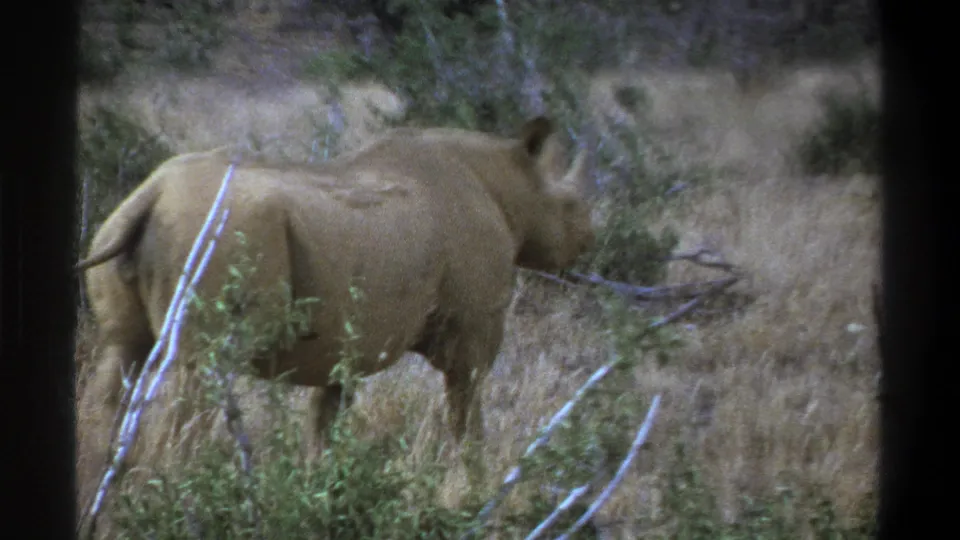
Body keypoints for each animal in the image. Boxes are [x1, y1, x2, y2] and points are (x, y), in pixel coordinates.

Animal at [77, 116, 595, 483]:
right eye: (571, 206)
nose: (587, 241)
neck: (509, 182)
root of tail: (152, 194)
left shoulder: (345, 346)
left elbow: (325, 422)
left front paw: (320, 487)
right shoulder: (473, 330)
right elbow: (467, 410)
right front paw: (477, 483)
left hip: (126, 223)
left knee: (120, 355)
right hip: (219, 235)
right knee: (200, 371)